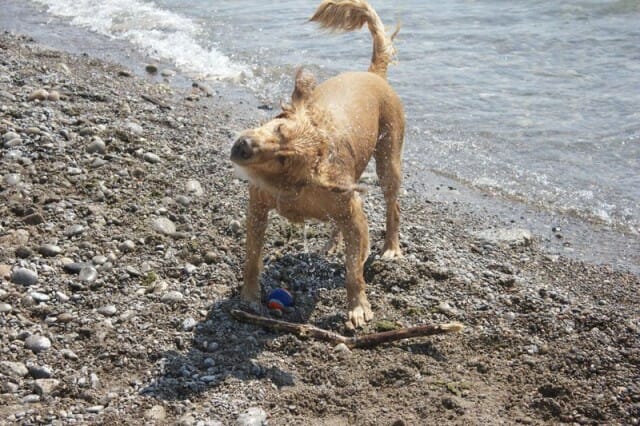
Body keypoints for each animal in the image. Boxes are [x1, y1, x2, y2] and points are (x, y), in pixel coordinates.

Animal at [230, 0, 404, 328]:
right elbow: (252, 259)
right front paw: (249, 296)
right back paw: (334, 244)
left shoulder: (353, 213)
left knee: (393, 207)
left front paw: (357, 305)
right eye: (277, 127)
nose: (244, 146)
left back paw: (391, 247)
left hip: (389, 161)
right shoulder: (257, 207)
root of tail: (375, 75)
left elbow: (354, 272)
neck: (293, 187)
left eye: (283, 158)